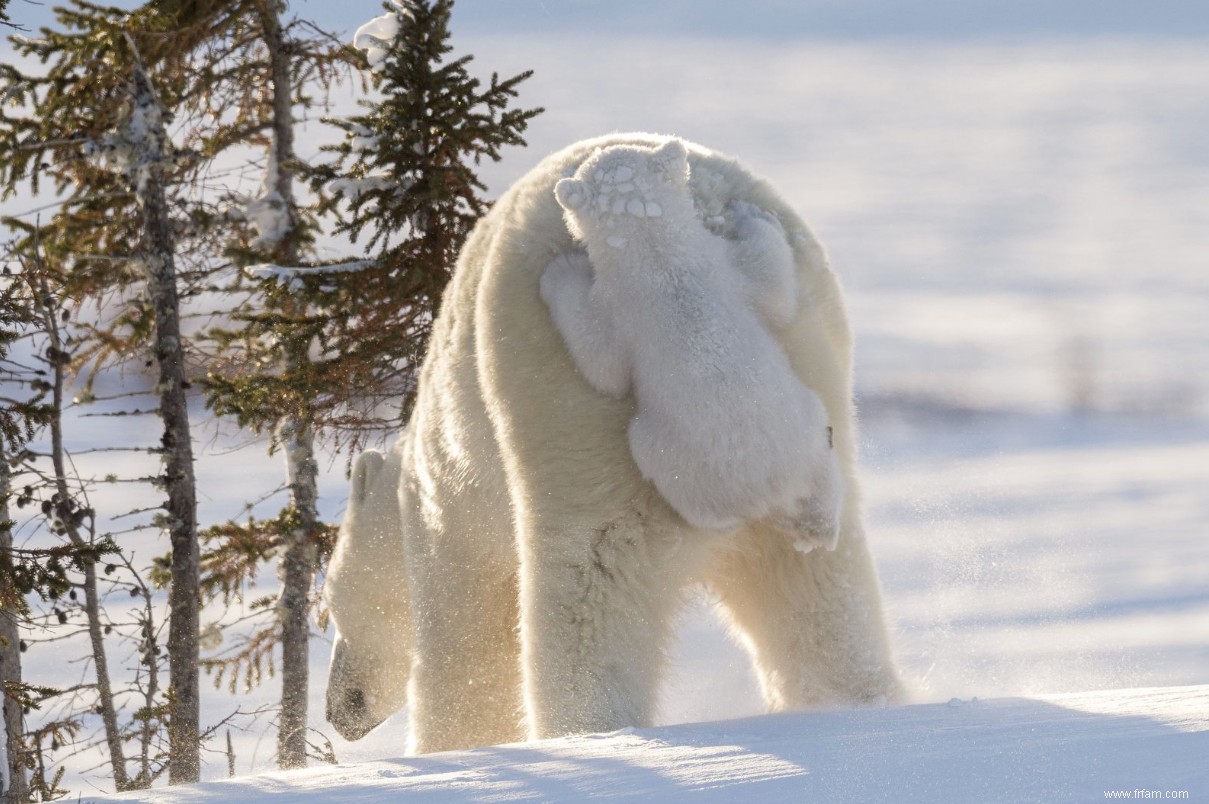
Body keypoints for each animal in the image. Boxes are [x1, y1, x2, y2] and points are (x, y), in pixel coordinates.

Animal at [539, 139, 841, 551]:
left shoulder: (631, 301)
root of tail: (772, 490)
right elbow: (773, 289)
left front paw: (559, 270)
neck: (660, 257)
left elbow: (604, 367)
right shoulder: (718, 271)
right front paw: (753, 215)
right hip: (799, 435)